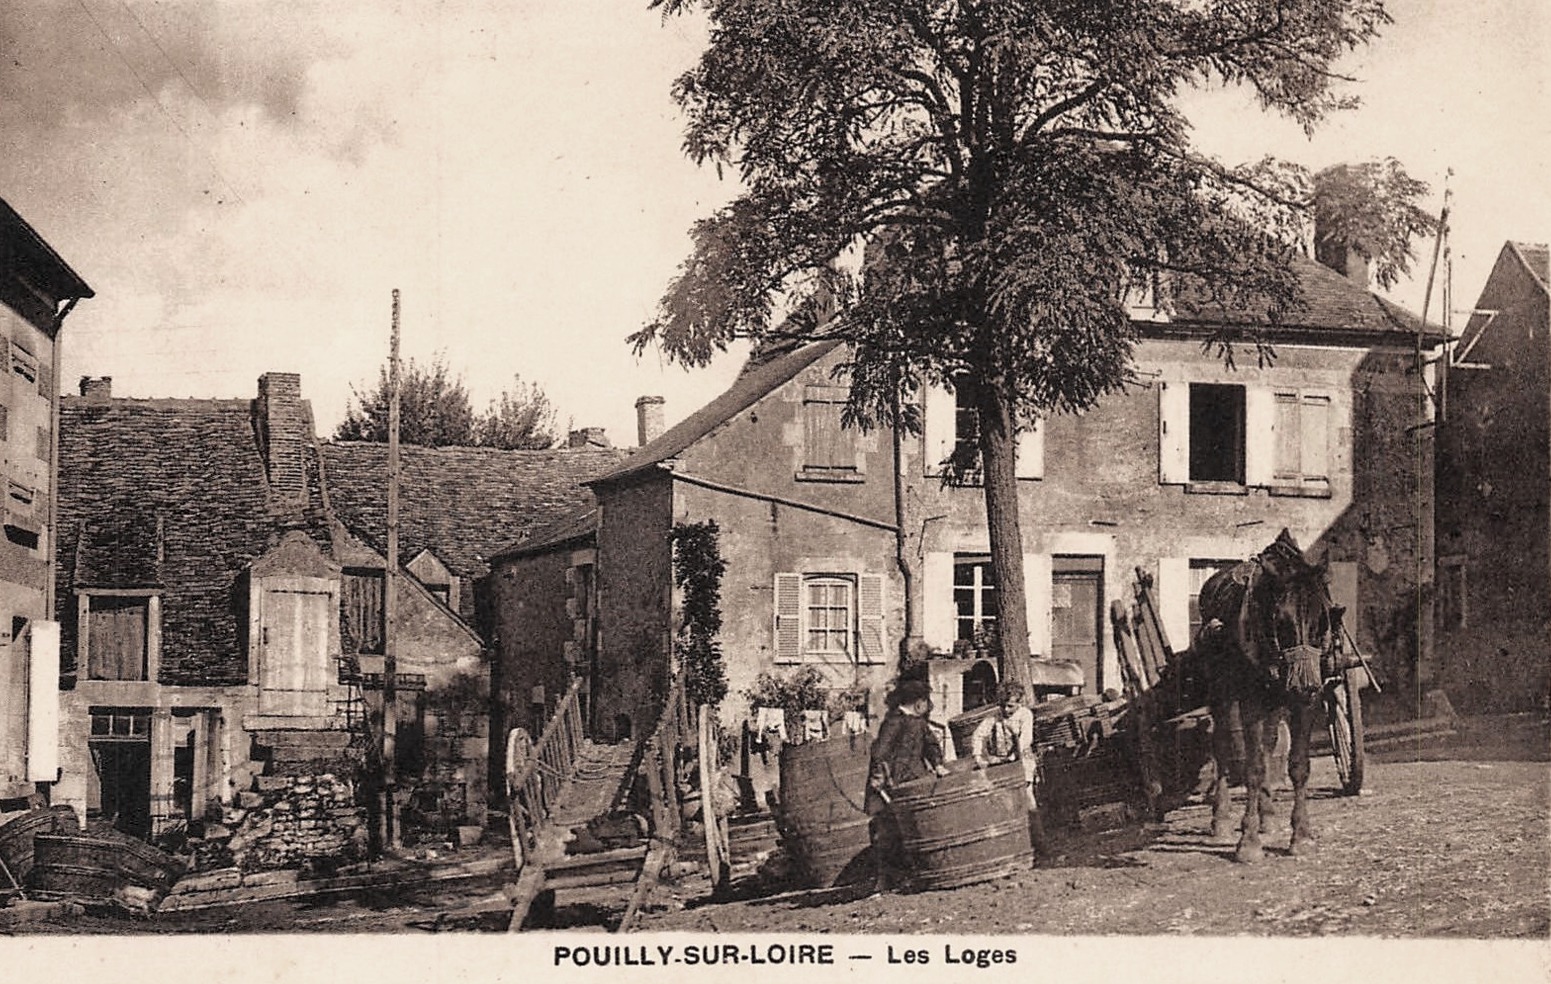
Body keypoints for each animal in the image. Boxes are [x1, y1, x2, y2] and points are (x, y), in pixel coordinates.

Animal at [1191, 527, 1340, 856]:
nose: (1303, 684)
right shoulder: (1251, 702)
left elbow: (1297, 765)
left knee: (1270, 743)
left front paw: (1300, 835)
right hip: (1221, 691)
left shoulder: (1307, 702)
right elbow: (1254, 767)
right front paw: (1248, 842)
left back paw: (1268, 815)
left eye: (1322, 620)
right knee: (1222, 745)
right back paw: (1221, 819)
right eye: (1280, 620)